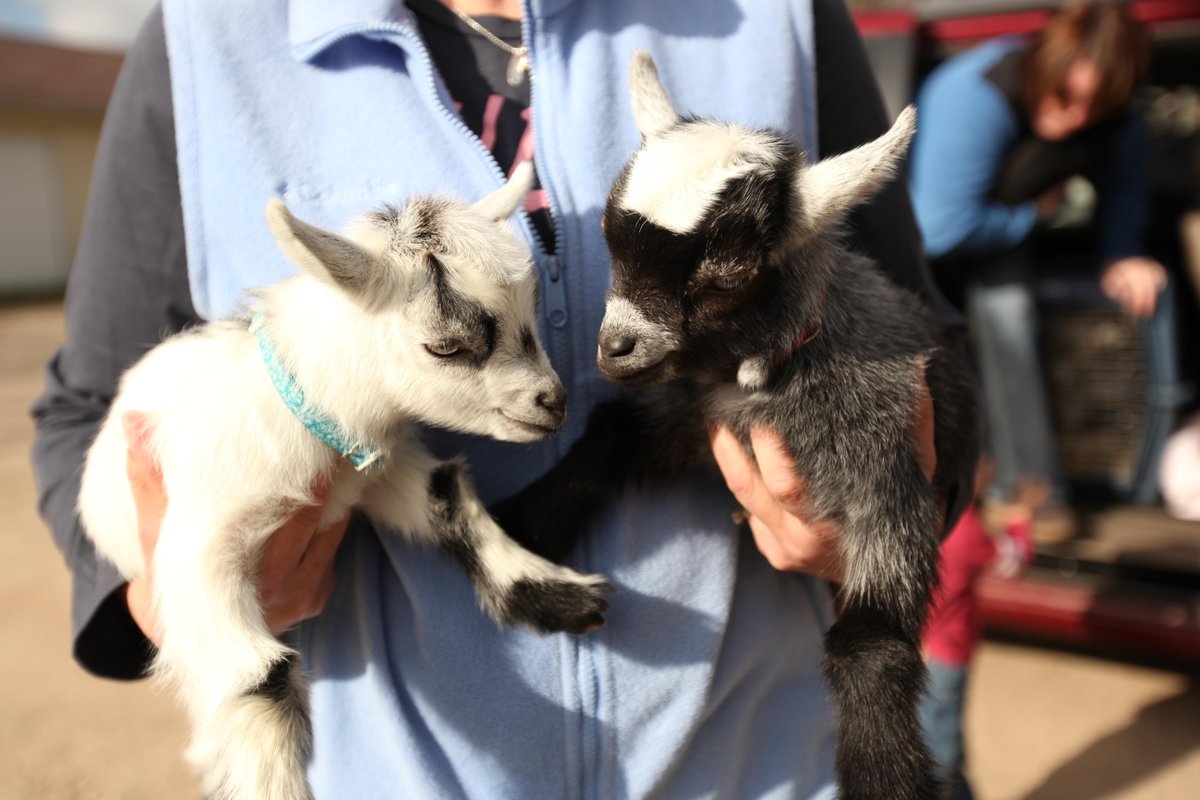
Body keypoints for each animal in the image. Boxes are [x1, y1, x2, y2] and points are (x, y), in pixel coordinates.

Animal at [78, 165, 611, 800]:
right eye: (446, 346)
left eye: (530, 313)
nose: (553, 402)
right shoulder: (200, 547)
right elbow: (262, 674)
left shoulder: (377, 475)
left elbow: (448, 494)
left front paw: (558, 596)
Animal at [493, 54, 979, 799]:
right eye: (608, 239)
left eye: (725, 275)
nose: (615, 348)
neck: (770, 368)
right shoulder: (697, 411)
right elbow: (612, 433)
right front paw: (520, 531)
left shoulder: (886, 473)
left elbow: (869, 644)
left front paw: (884, 777)